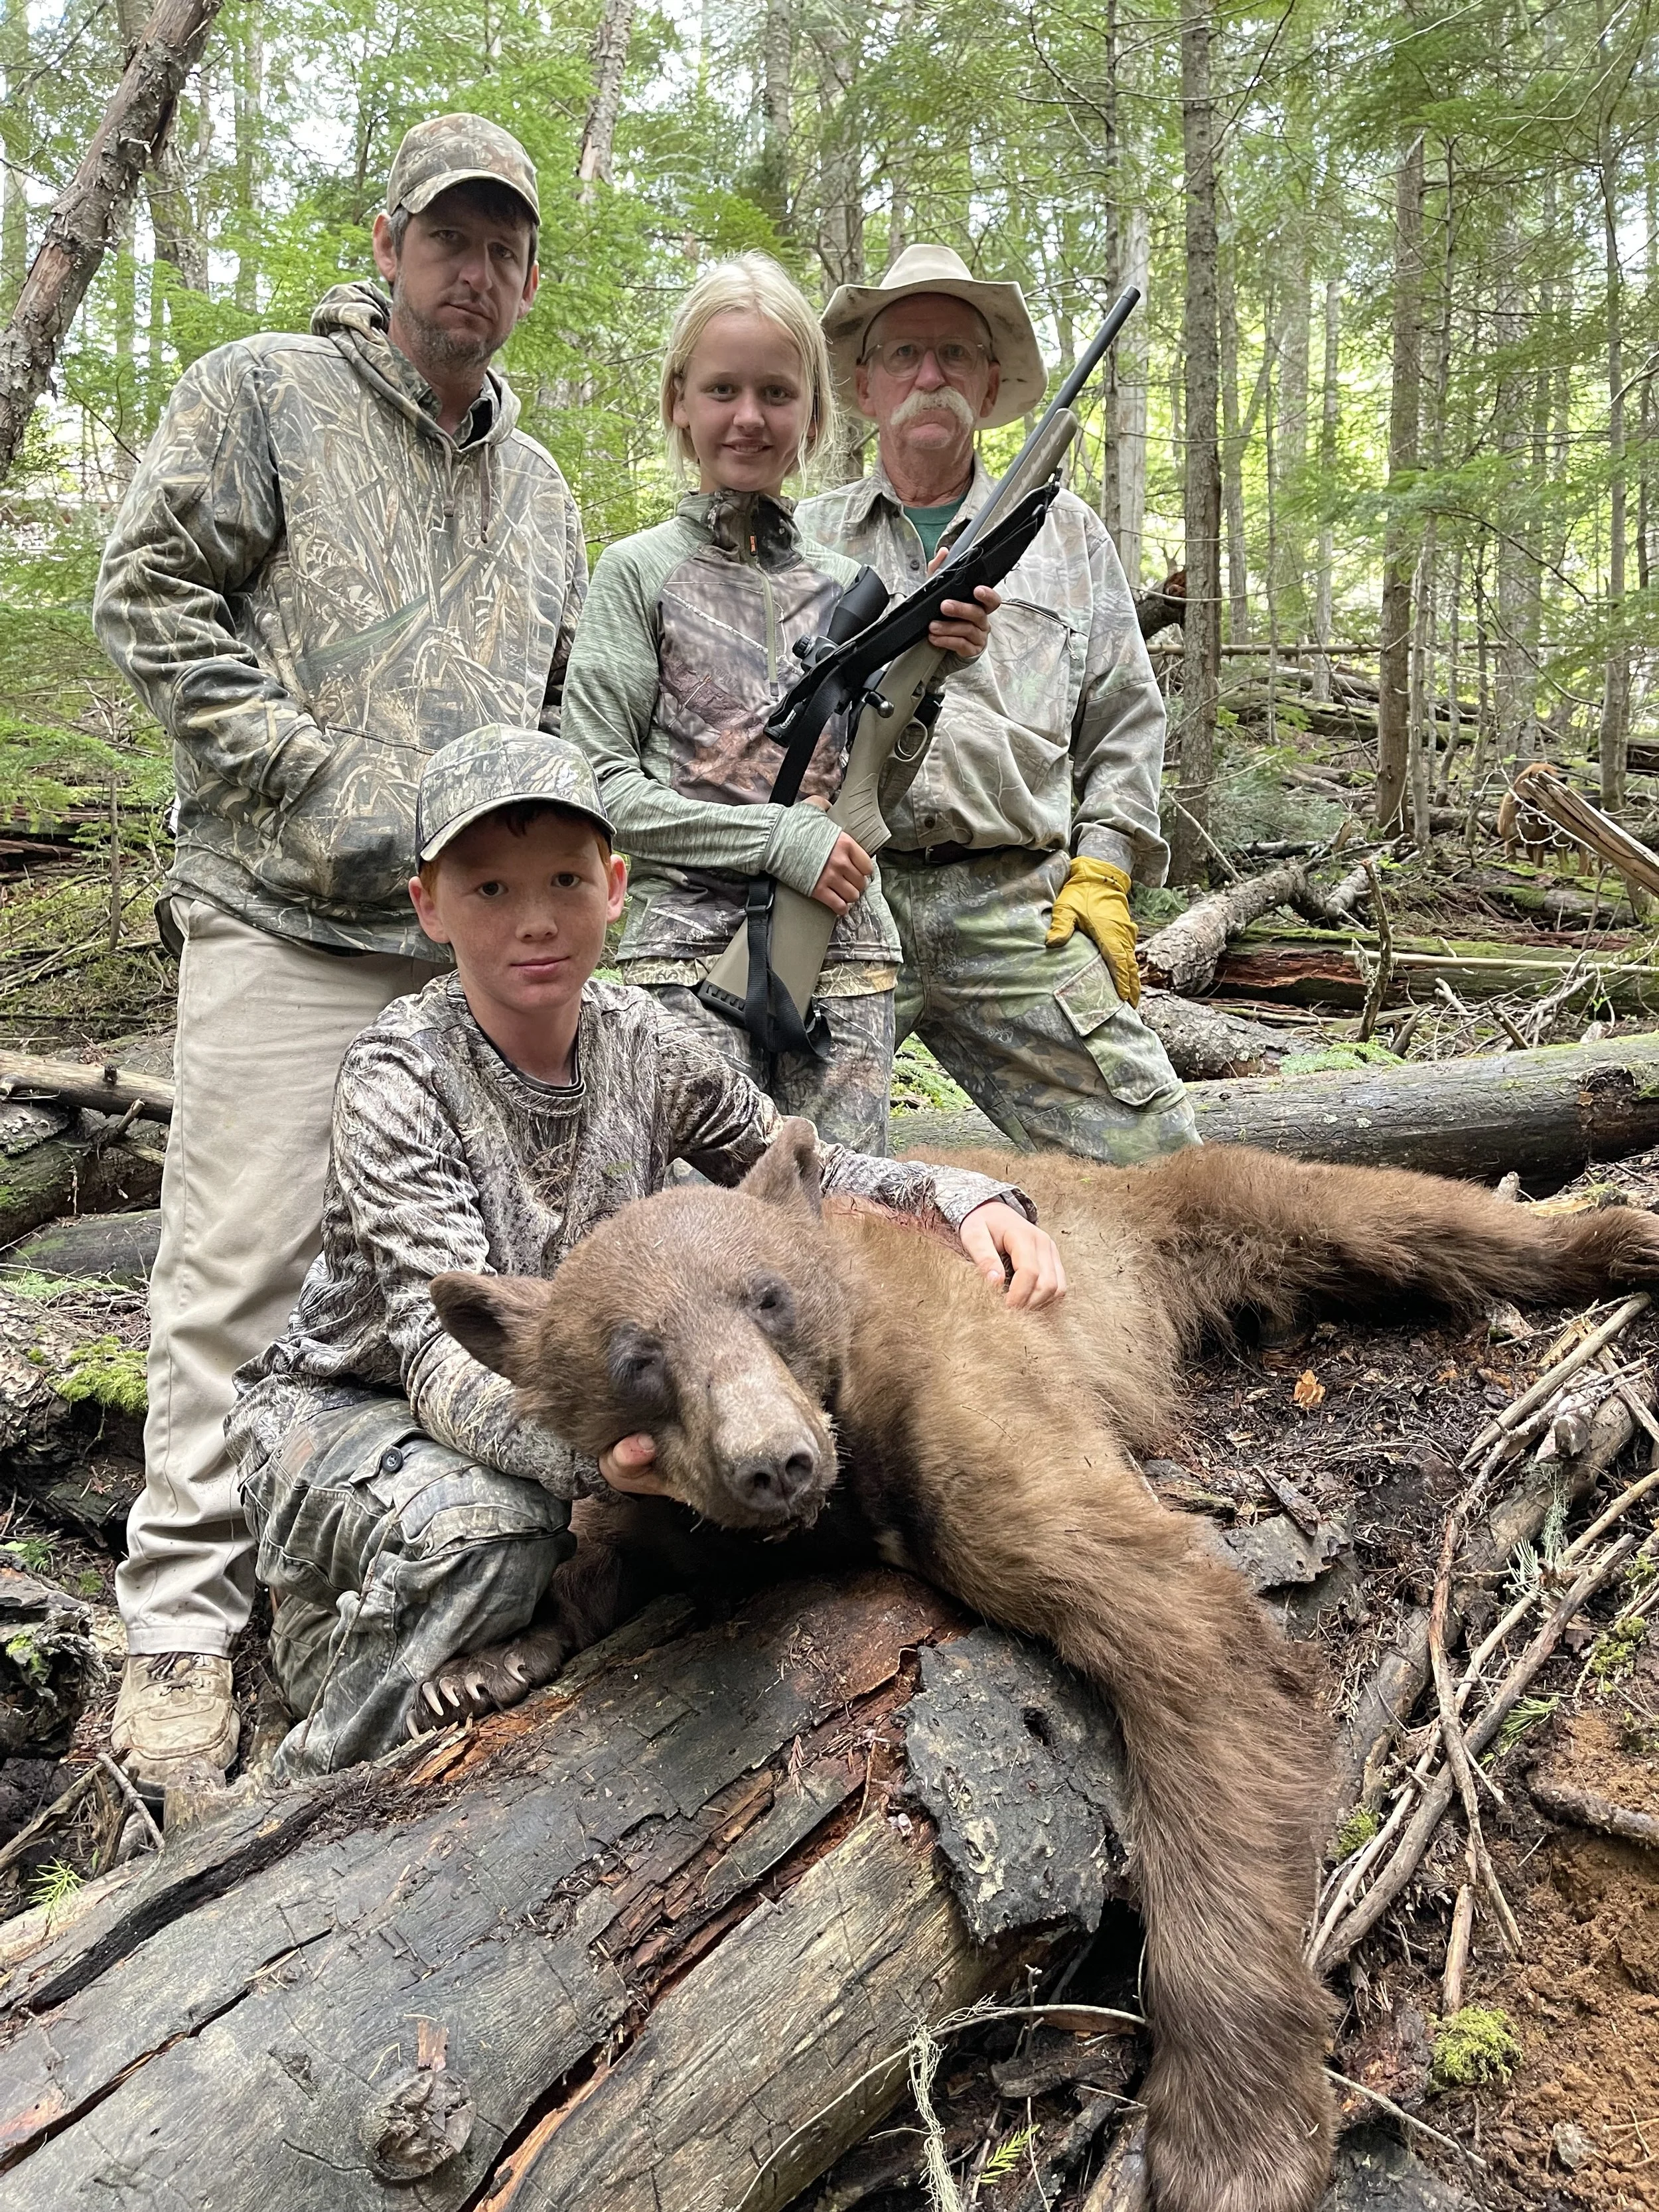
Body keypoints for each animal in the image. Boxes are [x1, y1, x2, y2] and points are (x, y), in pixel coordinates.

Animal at [431, 1128, 1659, 2212]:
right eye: (637, 1359)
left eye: (769, 1296)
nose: (774, 1461)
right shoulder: (696, 1509)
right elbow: (605, 1541)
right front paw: (487, 1663)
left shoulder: (953, 1387)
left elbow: (1178, 1622)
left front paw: (1234, 2140)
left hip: (1181, 1220)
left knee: (1376, 1210)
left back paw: (1615, 1238)